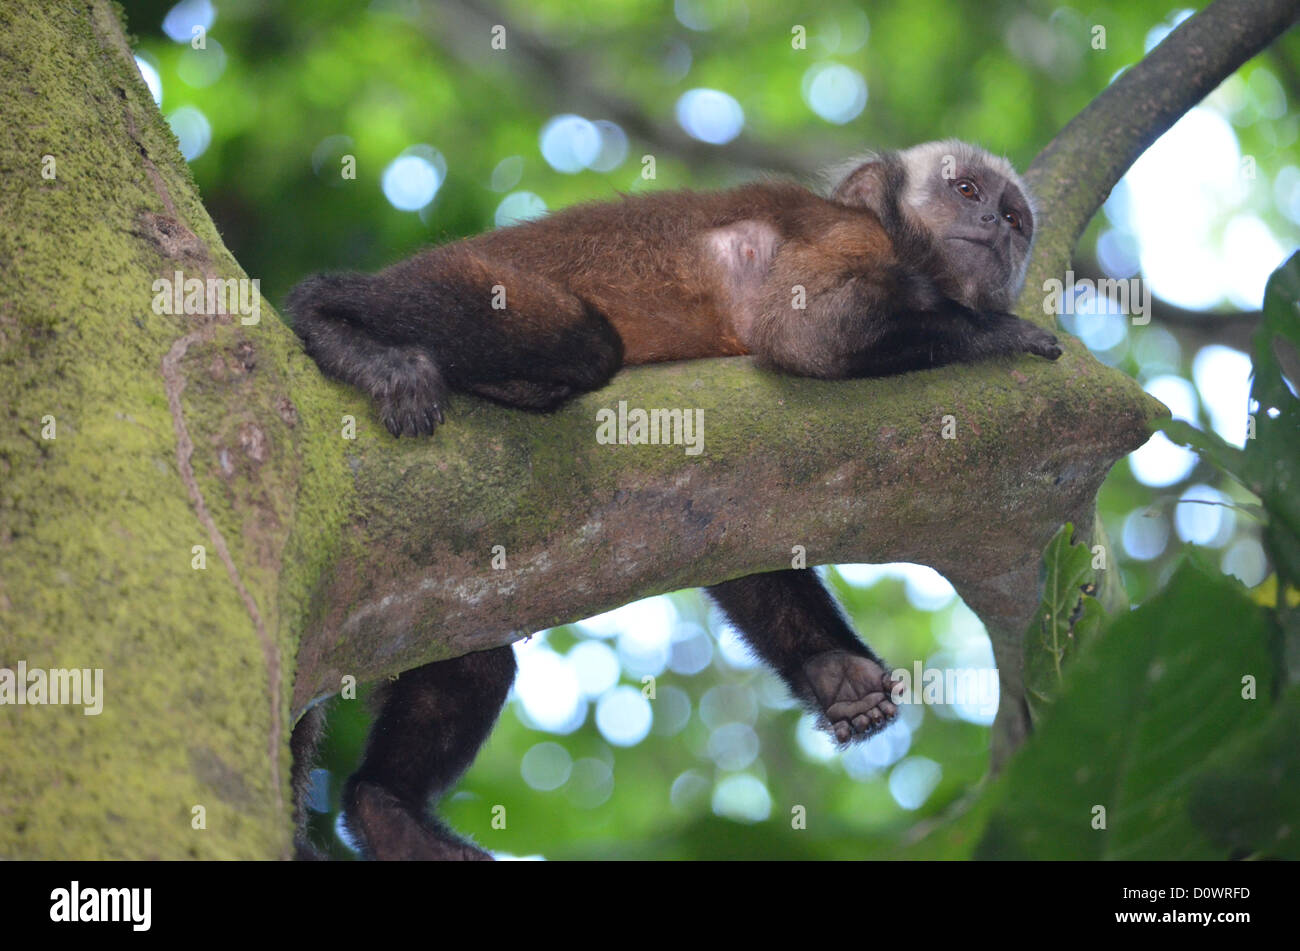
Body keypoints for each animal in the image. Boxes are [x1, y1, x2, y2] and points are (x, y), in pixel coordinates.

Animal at [286, 139, 1060, 860]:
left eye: (1014, 219)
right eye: (966, 191)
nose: (994, 225)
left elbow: (739, 548)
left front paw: (832, 669)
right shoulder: (849, 235)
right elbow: (806, 334)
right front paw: (998, 334)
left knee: (476, 658)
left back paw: (386, 808)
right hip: (446, 276)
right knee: (581, 339)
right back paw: (330, 320)